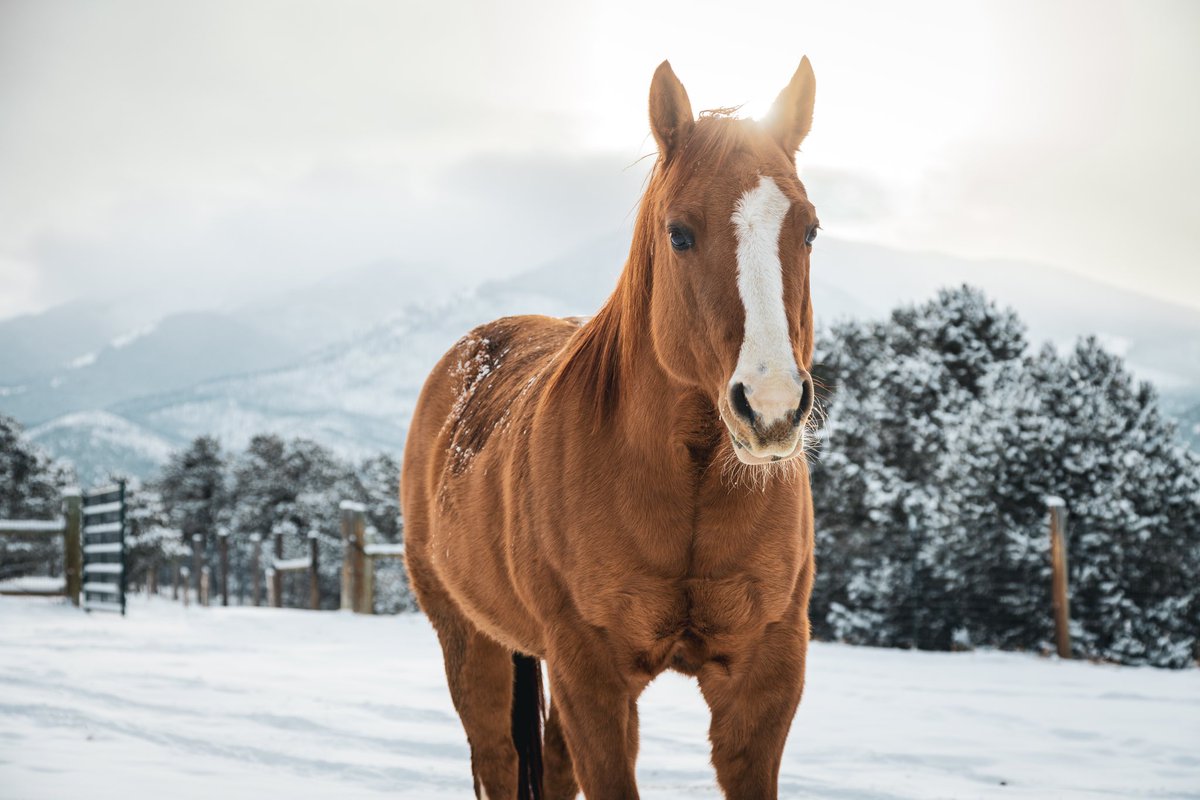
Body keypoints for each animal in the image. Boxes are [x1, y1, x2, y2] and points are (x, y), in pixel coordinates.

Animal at [402, 58, 820, 799]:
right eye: (679, 233)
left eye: (808, 230)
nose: (770, 406)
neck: (687, 480)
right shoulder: (591, 676)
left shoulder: (765, 677)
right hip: (470, 640)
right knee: (497, 758)